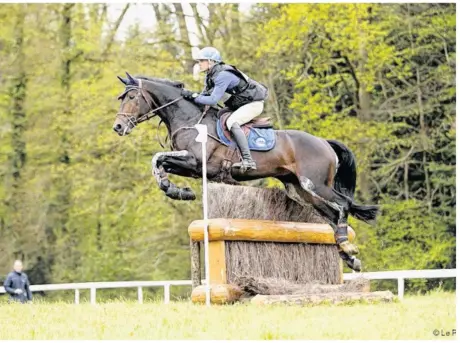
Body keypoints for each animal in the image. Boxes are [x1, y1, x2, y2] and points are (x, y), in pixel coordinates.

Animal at [113, 72, 380, 272]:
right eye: (122, 98)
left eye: (133, 96)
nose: (118, 127)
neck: (189, 119)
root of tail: (324, 142)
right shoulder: (190, 166)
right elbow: (159, 163)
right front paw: (178, 191)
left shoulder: (196, 161)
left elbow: (157, 158)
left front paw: (174, 189)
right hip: (300, 191)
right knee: (332, 216)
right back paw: (348, 255)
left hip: (313, 184)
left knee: (343, 205)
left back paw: (349, 249)